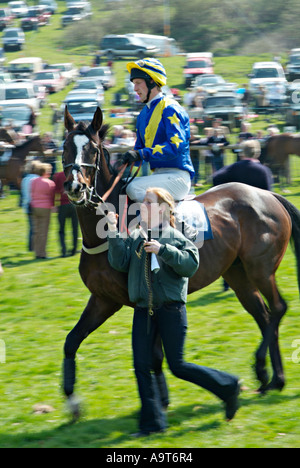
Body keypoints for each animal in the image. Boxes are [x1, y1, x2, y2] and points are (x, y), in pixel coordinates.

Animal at [61, 108, 300, 418]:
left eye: (92, 148)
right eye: (65, 147)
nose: (75, 186)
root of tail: (268, 195)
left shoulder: (141, 300)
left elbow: (153, 355)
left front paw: (159, 403)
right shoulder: (103, 299)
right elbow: (72, 341)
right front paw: (72, 401)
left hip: (260, 269)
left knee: (278, 308)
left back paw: (264, 370)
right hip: (238, 275)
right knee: (264, 315)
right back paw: (272, 379)